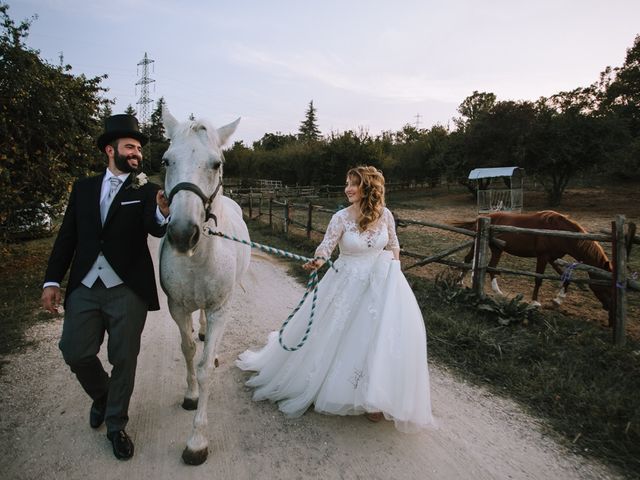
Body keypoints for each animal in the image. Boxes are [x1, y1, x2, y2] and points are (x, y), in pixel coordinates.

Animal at [159, 106, 250, 464]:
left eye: (216, 164)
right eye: (166, 161)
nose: (183, 234)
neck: (198, 260)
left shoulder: (220, 309)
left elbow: (205, 368)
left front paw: (197, 441)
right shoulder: (177, 308)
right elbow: (187, 351)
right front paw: (190, 395)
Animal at [456, 210, 608, 312]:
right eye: (604, 286)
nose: (607, 307)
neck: (559, 231)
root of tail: (481, 218)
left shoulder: (552, 258)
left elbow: (565, 277)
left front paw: (557, 300)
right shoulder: (543, 256)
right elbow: (538, 278)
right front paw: (535, 302)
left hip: (497, 249)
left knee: (488, 266)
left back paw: (496, 291)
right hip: (480, 244)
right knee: (471, 260)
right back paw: (460, 282)